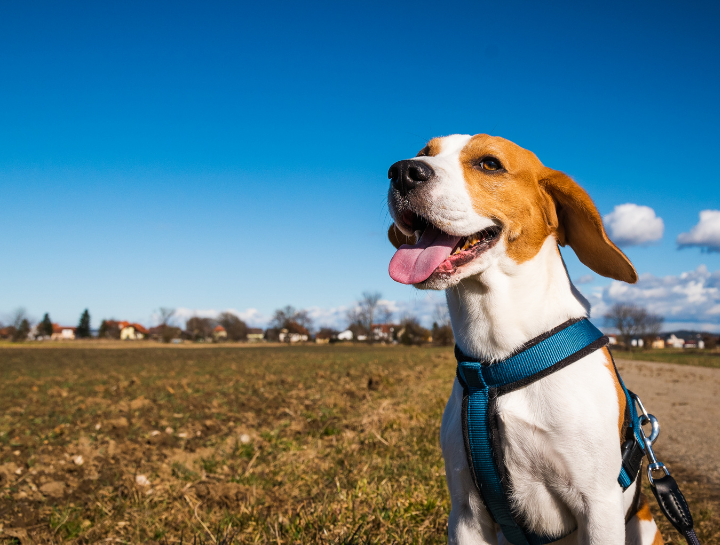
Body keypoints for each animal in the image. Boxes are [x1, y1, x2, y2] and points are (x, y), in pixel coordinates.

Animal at [386, 135, 660, 544]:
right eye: (425, 152)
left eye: (489, 164)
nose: (402, 171)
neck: (497, 361)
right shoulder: (466, 513)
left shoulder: (599, 506)